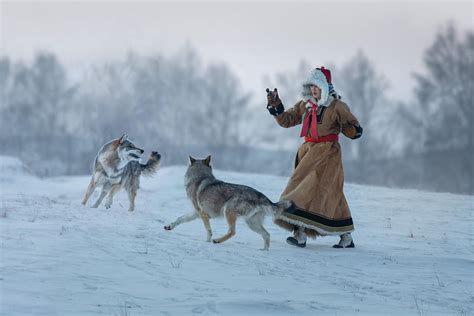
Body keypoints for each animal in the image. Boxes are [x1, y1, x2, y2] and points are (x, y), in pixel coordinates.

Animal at [163, 156, 292, 249]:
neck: (200, 177)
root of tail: (261, 196)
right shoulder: (197, 213)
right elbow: (180, 218)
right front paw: (169, 226)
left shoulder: (203, 215)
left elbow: (208, 231)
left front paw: (207, 242)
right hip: (251, 223)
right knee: (267, 235)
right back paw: (264, 251)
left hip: (228, 211)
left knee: (232, 232)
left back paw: (217, 240)